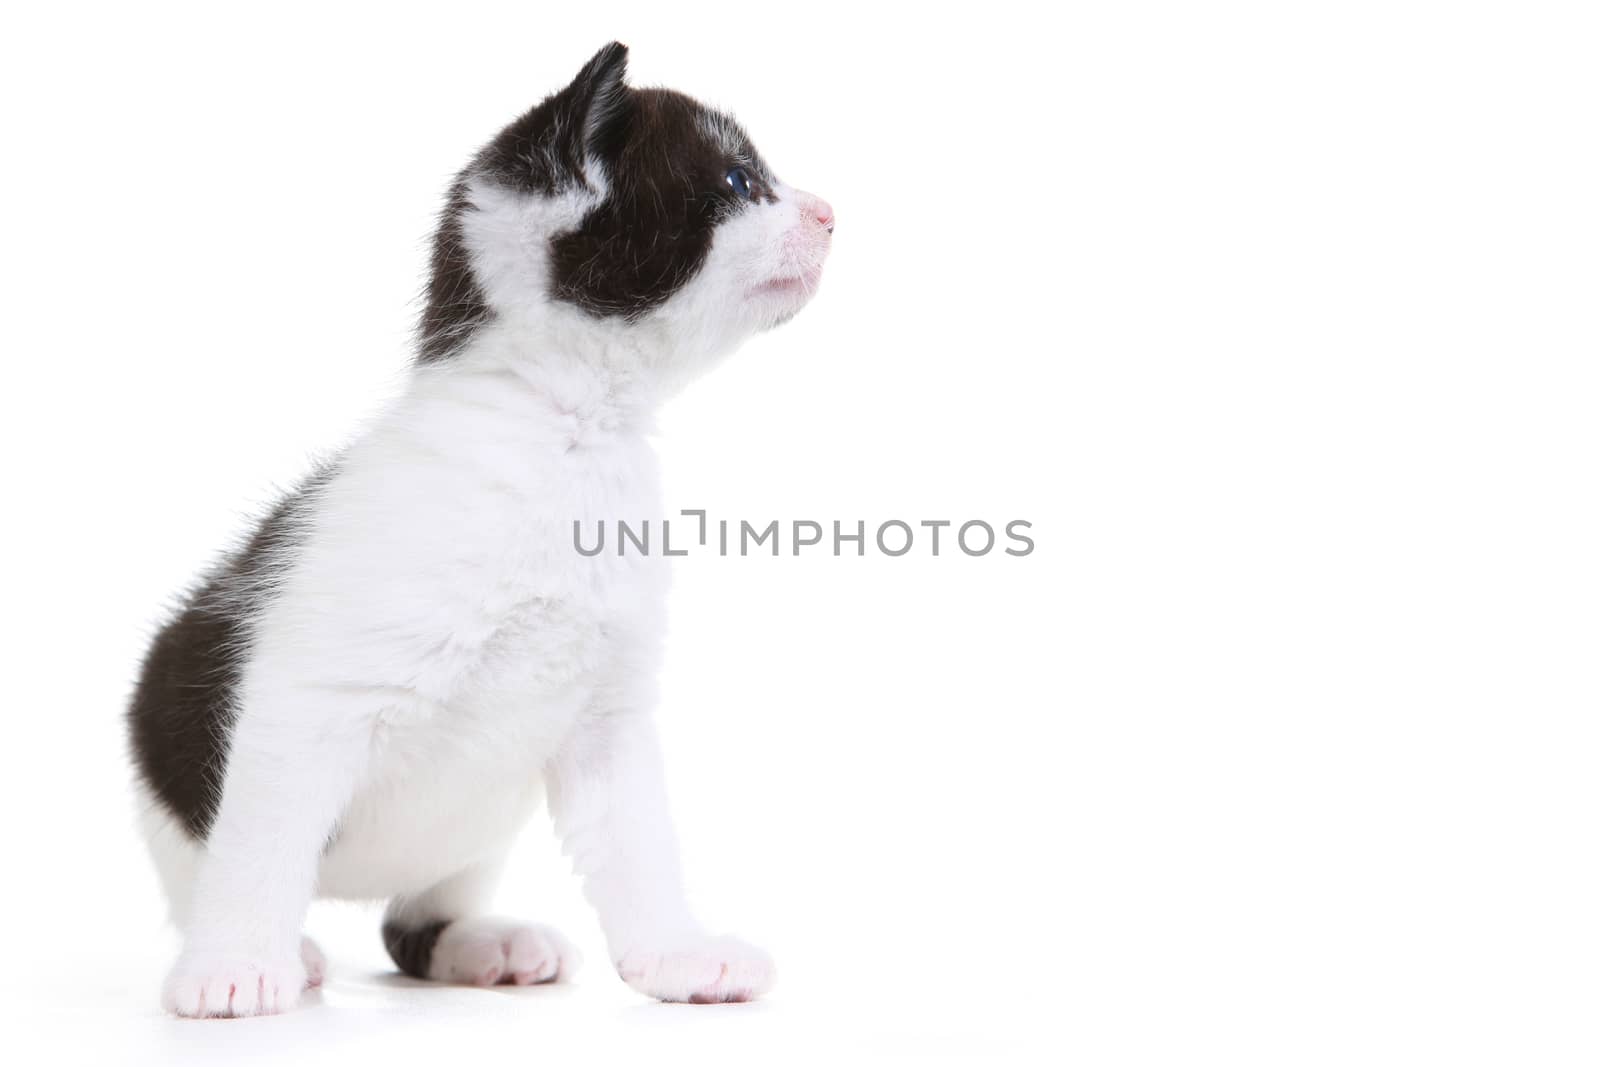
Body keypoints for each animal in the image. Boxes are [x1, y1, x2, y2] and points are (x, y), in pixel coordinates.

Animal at [128, 43, 838, 1017]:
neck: (567, 434)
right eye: (738, 180)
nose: (829, 212)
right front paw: (234, 966)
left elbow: (640, 845)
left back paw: (479, 942)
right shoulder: (303, 700)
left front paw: (676, 953)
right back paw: (286, 949)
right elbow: (263, 842)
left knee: (412, 922)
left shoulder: (608, 716)